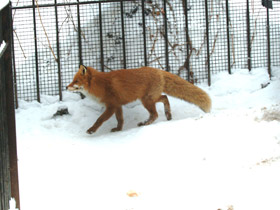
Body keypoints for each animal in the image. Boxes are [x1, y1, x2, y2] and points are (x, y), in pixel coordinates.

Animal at [66, 65, 211, 134]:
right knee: (165, 98)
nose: (66, 87)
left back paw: (145, 123)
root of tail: (158, 70)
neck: (99, 85)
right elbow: (120, 120)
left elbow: (99, 120)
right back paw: (168, 115)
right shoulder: (118, 105)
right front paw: (118, 130)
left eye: (76, 81)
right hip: (150, 98)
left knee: (155, 114)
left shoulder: (111, 105)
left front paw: (92, 130)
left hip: (146, 100)